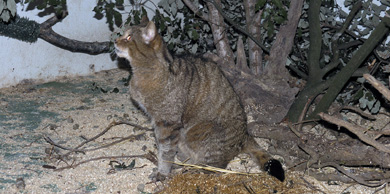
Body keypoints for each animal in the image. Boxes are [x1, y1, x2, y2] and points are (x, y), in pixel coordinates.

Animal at [114, 16, 284, 182]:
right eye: (124, 35)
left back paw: (191, 169)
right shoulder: (158, 122)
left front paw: (162, 172)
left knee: (213, 167)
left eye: (128, 37)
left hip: (200, 133)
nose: (115, 41)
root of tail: (245, 135)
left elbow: (165, 152)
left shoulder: (167, 123)